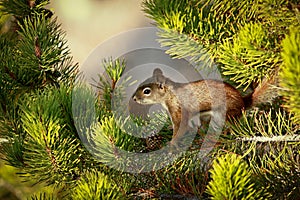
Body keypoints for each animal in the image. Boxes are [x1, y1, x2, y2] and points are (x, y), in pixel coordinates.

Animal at [132, 67, 278, 145]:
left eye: (146, 91)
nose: (134, 98)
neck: (170, 94)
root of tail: (242, 102)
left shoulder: (179, 110)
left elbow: (180, 127)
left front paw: (172, 143)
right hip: (207, 116)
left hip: (224, 114)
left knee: (232, 126)